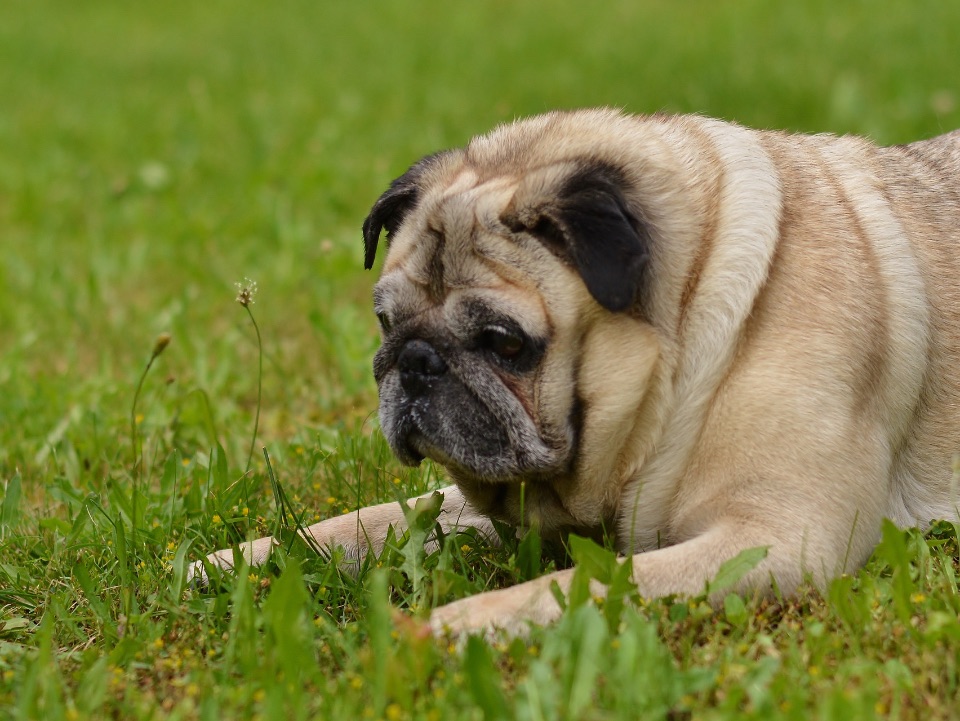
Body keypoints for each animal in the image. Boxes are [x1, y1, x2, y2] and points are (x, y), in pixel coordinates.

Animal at [197, 107, 960, 636]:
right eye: (387, 323)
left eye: (504, 343)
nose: (414, 361)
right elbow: (364, 523)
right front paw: (234, 561)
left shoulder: (778, 537)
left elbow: (578, 588)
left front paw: (459, 623)